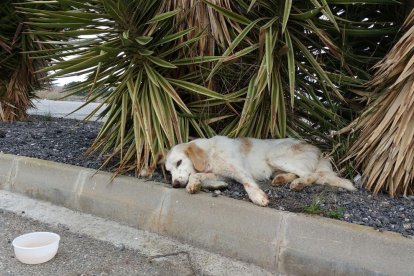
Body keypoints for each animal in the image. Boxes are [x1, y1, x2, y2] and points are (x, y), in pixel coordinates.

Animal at [165, 137, 356, 206]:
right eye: (169, 172)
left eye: (179, 162)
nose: (174, 184)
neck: (211, 152)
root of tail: (315, 148)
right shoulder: (221, 174)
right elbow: (197, 174)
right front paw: (193, 184)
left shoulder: (239, 171)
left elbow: (248, 184)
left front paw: (258, 197)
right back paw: (282, 179)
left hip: (275, 157)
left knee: (313, 174)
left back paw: (298, 183)